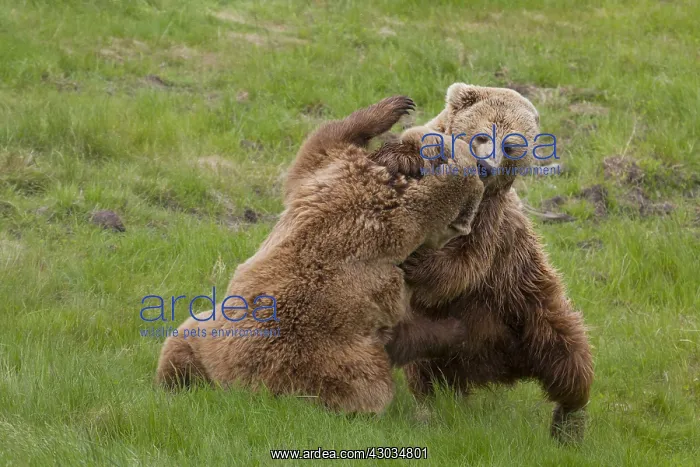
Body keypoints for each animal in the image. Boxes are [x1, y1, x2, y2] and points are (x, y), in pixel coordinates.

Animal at [156, 96, 486, 414]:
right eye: (464, 216)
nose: (466, 228)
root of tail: (239, 389)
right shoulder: (389, 262)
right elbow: (401, 325)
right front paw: (455, 328)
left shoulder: (329, 177)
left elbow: (320, 145)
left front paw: (393, 106)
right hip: (332, 369)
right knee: (368, 385)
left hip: (208, 328)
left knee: (180, 341)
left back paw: (175, 379)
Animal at [385, 84, 594, 443]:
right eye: (482, 135)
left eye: (511, 145)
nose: (486, 167)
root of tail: (494, 367)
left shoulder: (490, 222)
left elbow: (462, 267)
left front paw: (419, 263)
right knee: (425, 369)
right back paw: (430, 411)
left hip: (527, 302)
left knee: (568, 355)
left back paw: (569, 423)